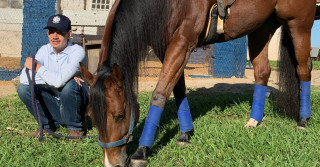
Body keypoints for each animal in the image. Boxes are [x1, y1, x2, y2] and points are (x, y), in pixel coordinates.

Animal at [79, 0, 316, 167]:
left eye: (120, 115)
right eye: (91, 116)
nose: (111, 163)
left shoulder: (182, 43)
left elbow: (160, 93)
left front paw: (142, 150)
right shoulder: (167, 47)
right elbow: (178, 89)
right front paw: (185, 134)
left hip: (298, 24)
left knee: (304, 69)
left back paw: (303, 120)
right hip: (260, 27)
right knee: (262, 72)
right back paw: (254, 120)